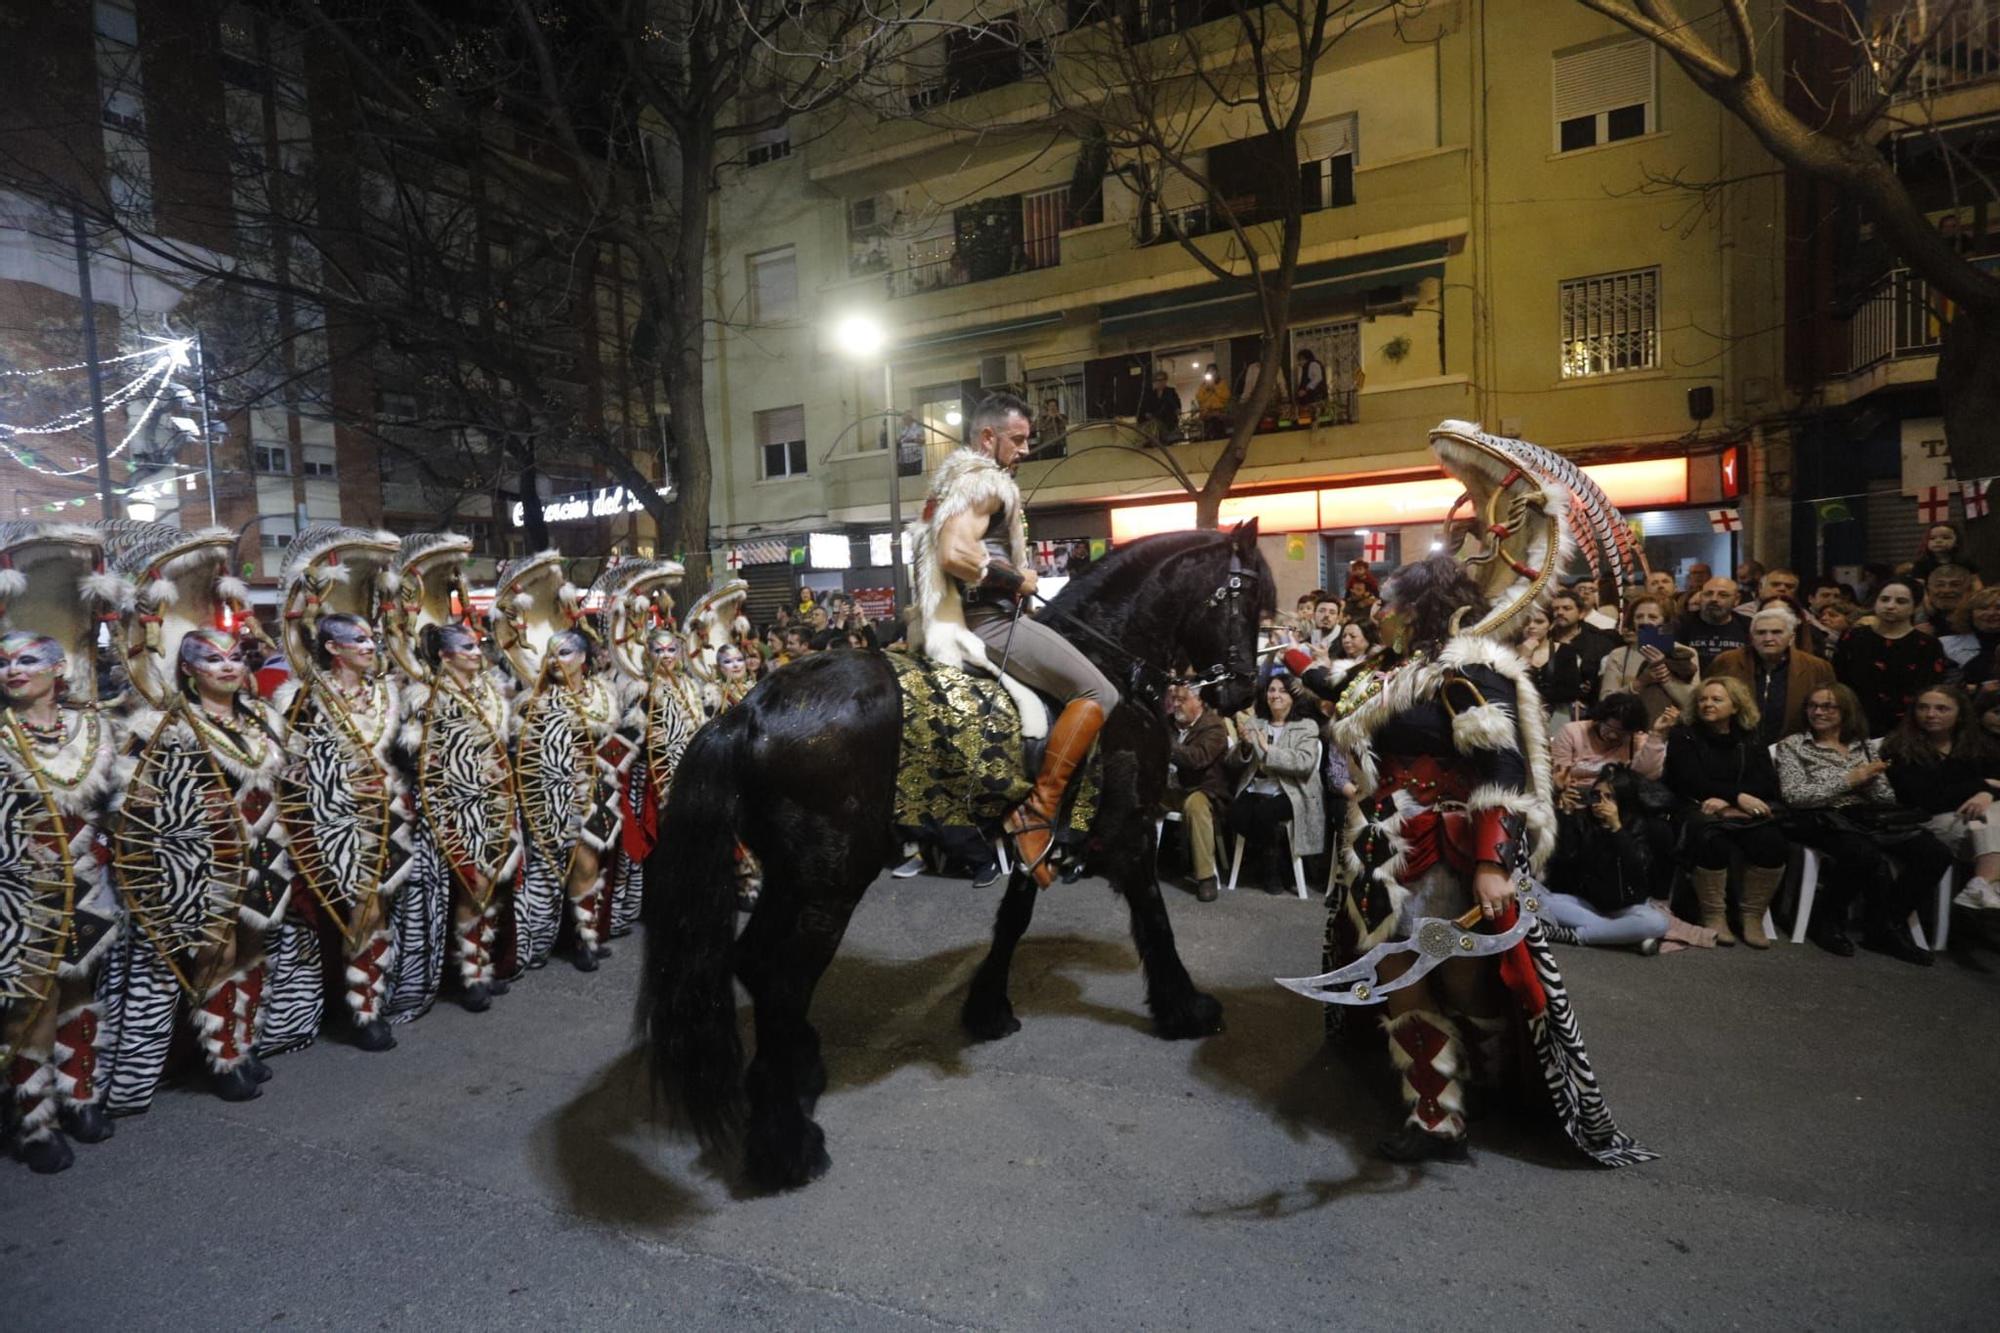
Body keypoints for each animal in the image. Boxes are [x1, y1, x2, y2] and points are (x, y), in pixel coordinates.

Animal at [640, 520, 1280, 1184]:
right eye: (1242, 599)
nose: (1241, 690)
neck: (1116, 665)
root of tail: (746, 712)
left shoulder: (1037, 834)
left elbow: (1012, 921)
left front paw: (988, 1007)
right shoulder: (1129, 833)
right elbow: (1155, 918)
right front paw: (1186, 1008)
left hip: (795, 878)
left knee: (754, 963)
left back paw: (800, 1072)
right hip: (830, 880)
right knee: (781, 976)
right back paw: (787, 1143)